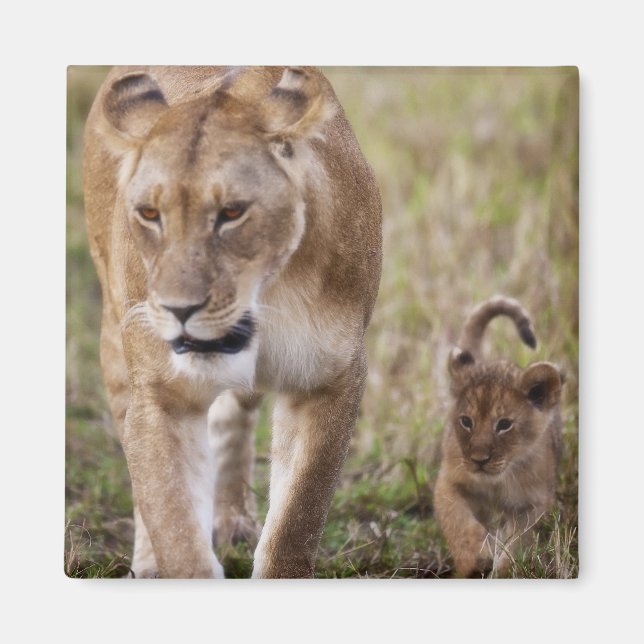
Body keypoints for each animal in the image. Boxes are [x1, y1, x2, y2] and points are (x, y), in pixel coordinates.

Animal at [82, 66, 382, 578]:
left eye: (232, 212)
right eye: (150, 213)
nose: (179, 309)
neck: (268, 297)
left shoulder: (330, 379)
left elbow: (297, 518)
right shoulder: (161, 394)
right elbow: (173, 522)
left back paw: (232, 520)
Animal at [433, 296, 563, 577]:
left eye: (504, 425)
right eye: (466, 421)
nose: (479, 460)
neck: (497, 482)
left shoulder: (534, 503)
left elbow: (518, 542)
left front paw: (504, 569)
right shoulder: (449, 481)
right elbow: (458, 520)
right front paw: (475, 559)